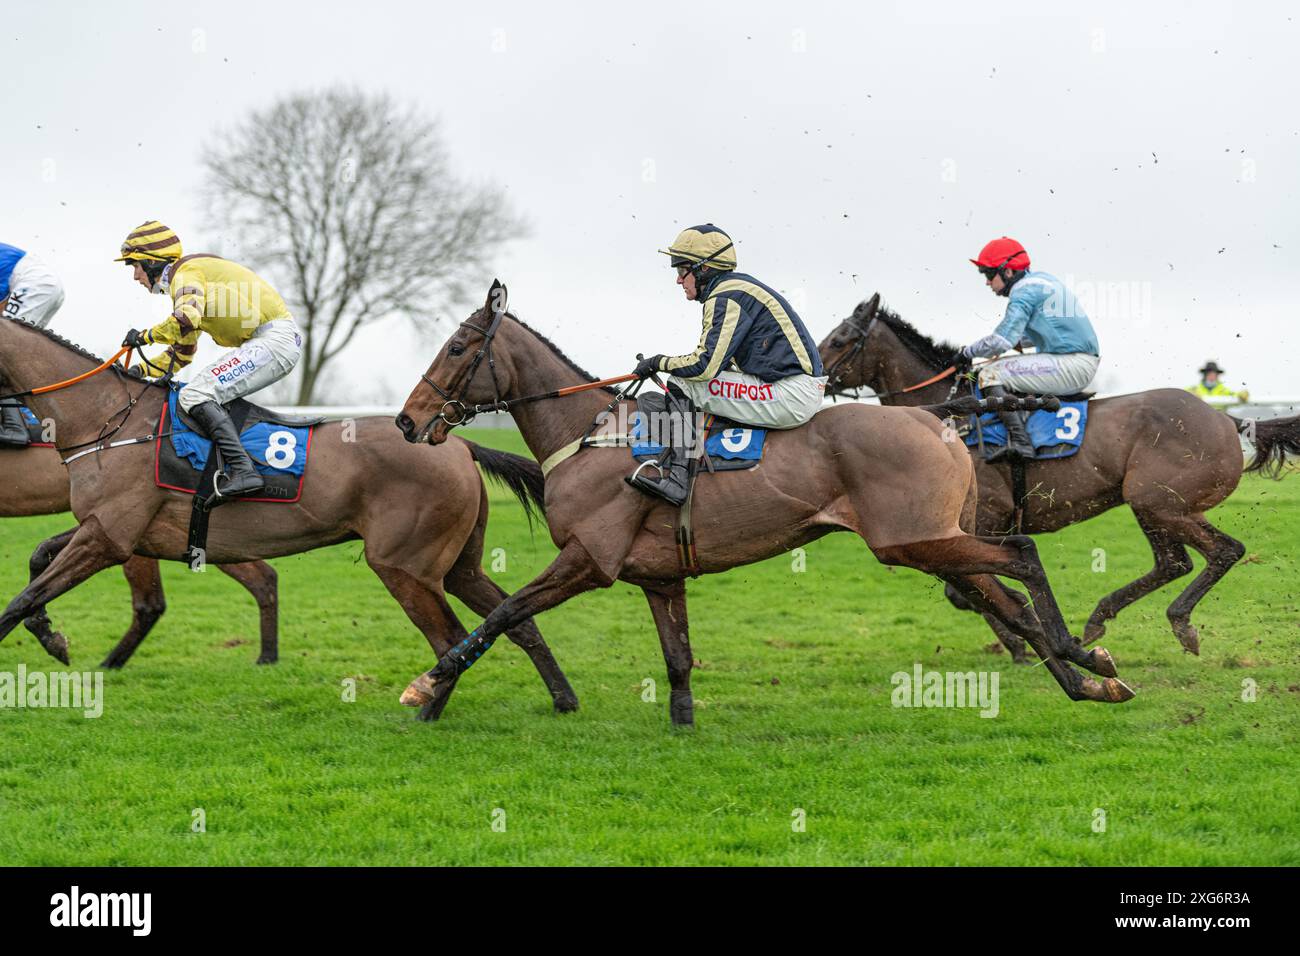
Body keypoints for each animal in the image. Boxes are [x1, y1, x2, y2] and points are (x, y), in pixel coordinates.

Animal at [390, 280, 1133, 728]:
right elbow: (678, 659)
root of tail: (936, 422)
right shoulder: (659, 575)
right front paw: (683, 723)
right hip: (930, 541)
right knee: (1005, 599)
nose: (407, 420)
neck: (591, 434)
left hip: (910, 541)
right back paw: (1089, 679)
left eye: (457, 346)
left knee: (1023, 557)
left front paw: (428, 688)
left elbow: (504, 613)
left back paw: (1083, 651)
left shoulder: (587, 559)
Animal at [821, 293, 1289, 658]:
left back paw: (1179, 622)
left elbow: (972, 592)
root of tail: (1229, 421)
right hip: (1156, 505)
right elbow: (972, 592)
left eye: (839, 340)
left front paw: (1021, 643)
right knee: (1174, 562)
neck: (951, 420)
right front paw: (1024, 639)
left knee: (1224, 550)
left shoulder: (985, 517)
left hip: (1158, 500)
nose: (817, 377)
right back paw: (1100, 617)